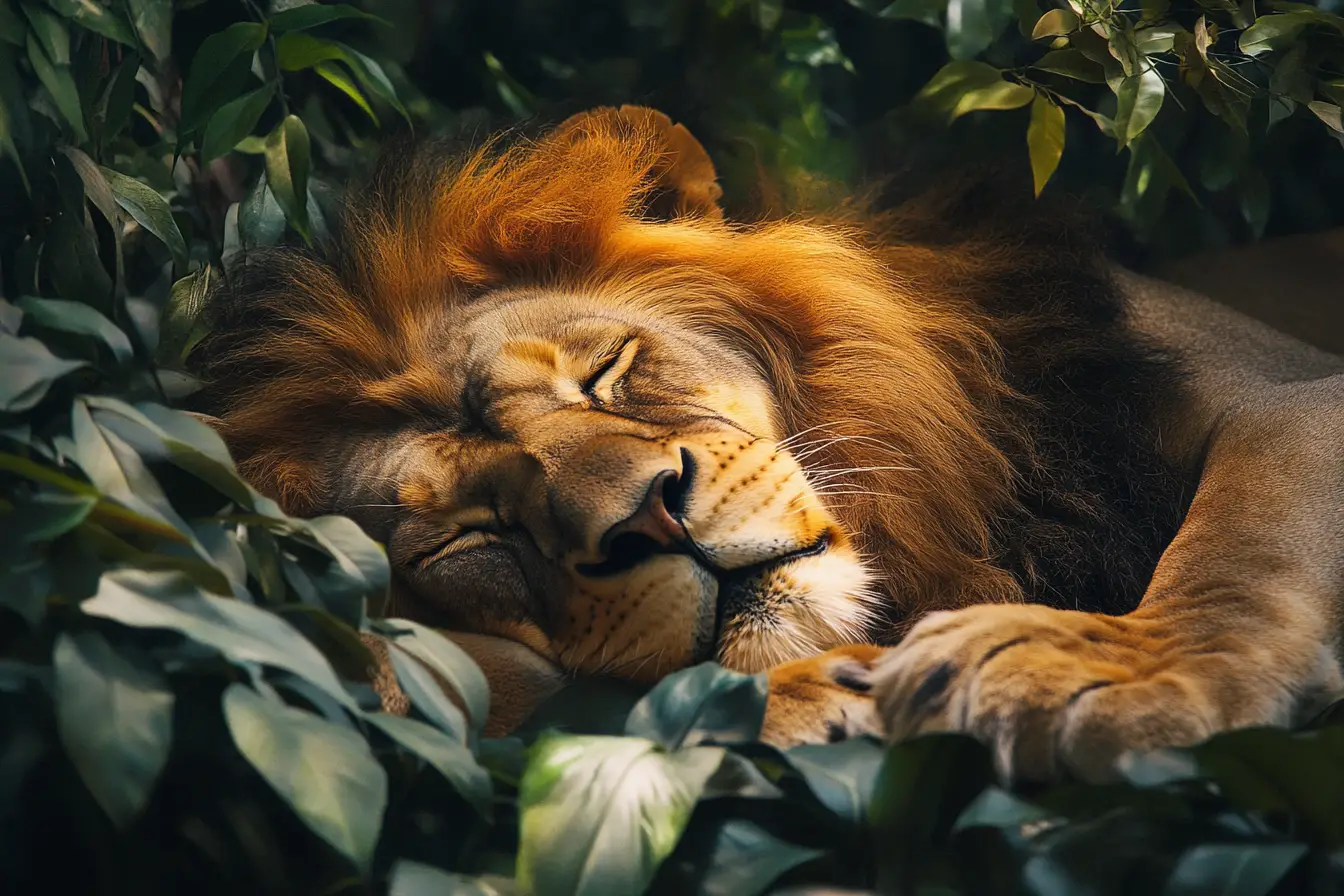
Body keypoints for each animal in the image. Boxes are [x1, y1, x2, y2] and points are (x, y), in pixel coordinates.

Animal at [193, 106, 1344, 783]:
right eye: (472, 537)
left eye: (605, 369)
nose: (647, 517)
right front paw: (818, 695)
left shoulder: (1292, 394)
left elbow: (1233, 550)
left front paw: (1102, 673)